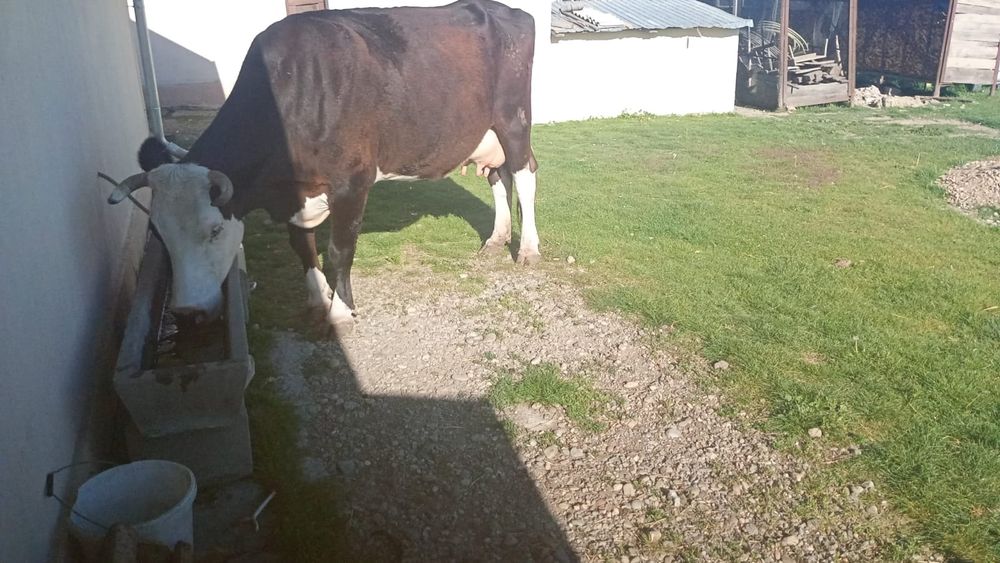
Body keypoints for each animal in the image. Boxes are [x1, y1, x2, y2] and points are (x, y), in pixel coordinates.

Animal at [108, 0, 539, 333]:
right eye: (157, 233)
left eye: (214, 230)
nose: (187, 314)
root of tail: (500, 9)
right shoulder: (296, 189)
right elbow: (302, 245)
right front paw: (317, 297)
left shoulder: (352, 180)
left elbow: (339, 249)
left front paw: (340, 311)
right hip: (487, 134)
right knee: (498, 176)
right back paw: (497, 238)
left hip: (513, 120)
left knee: (524, 173)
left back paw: (528, 249)